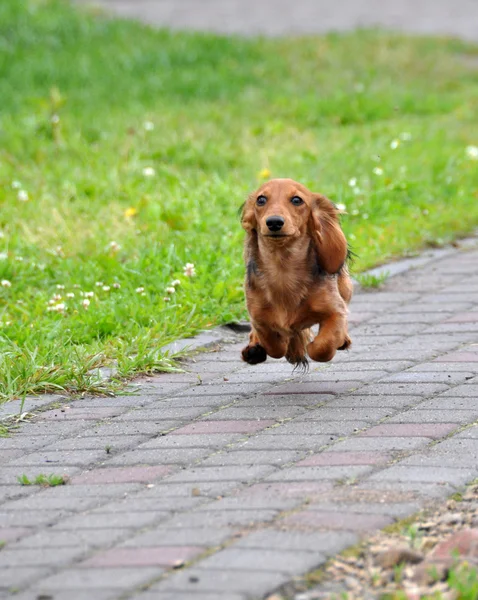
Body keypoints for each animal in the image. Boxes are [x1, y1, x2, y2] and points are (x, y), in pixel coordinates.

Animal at [243, 177, 352, 366]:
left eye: (296, 200)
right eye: (261, 199)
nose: (274, 222)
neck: (283, 270)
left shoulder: (335, 311)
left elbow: (323, 347)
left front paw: (309, 346)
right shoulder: (258, 318)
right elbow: (274, 345)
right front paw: (290, 346)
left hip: (345, 288)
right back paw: (254, 349)